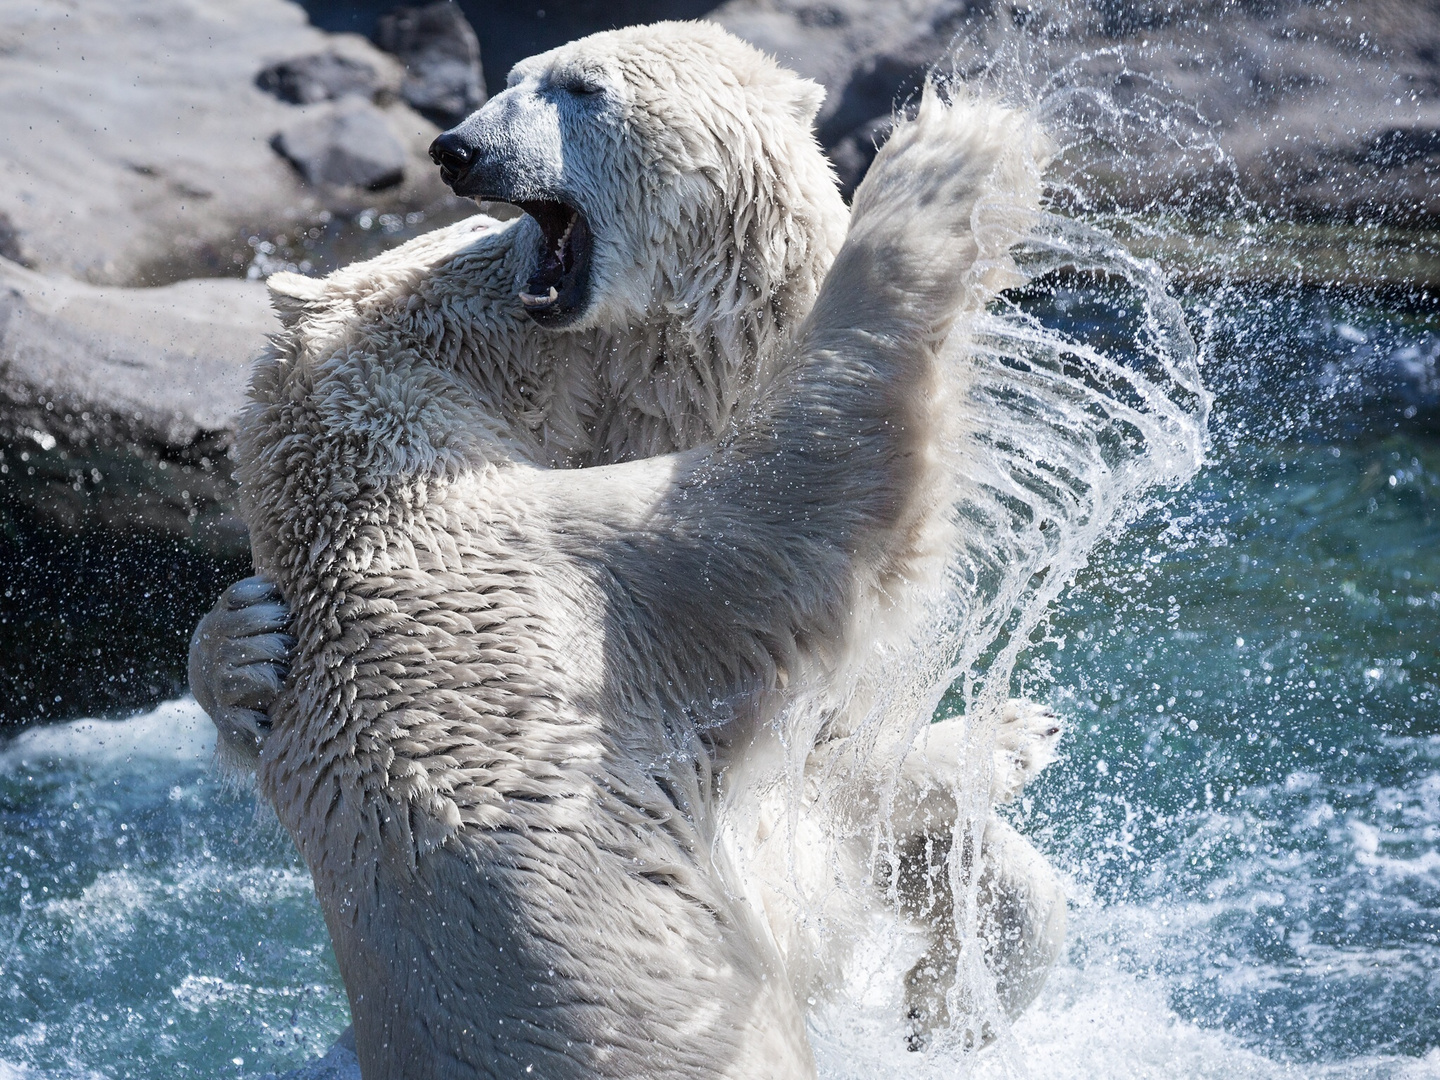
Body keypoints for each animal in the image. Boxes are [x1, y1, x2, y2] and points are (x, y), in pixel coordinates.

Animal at [191, 19, 1065, 1080]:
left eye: (575, 86)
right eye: (534, 80)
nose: (455, 152)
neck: (371, 498)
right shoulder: (585, 590)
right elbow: (797, 502)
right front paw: (946, 157)